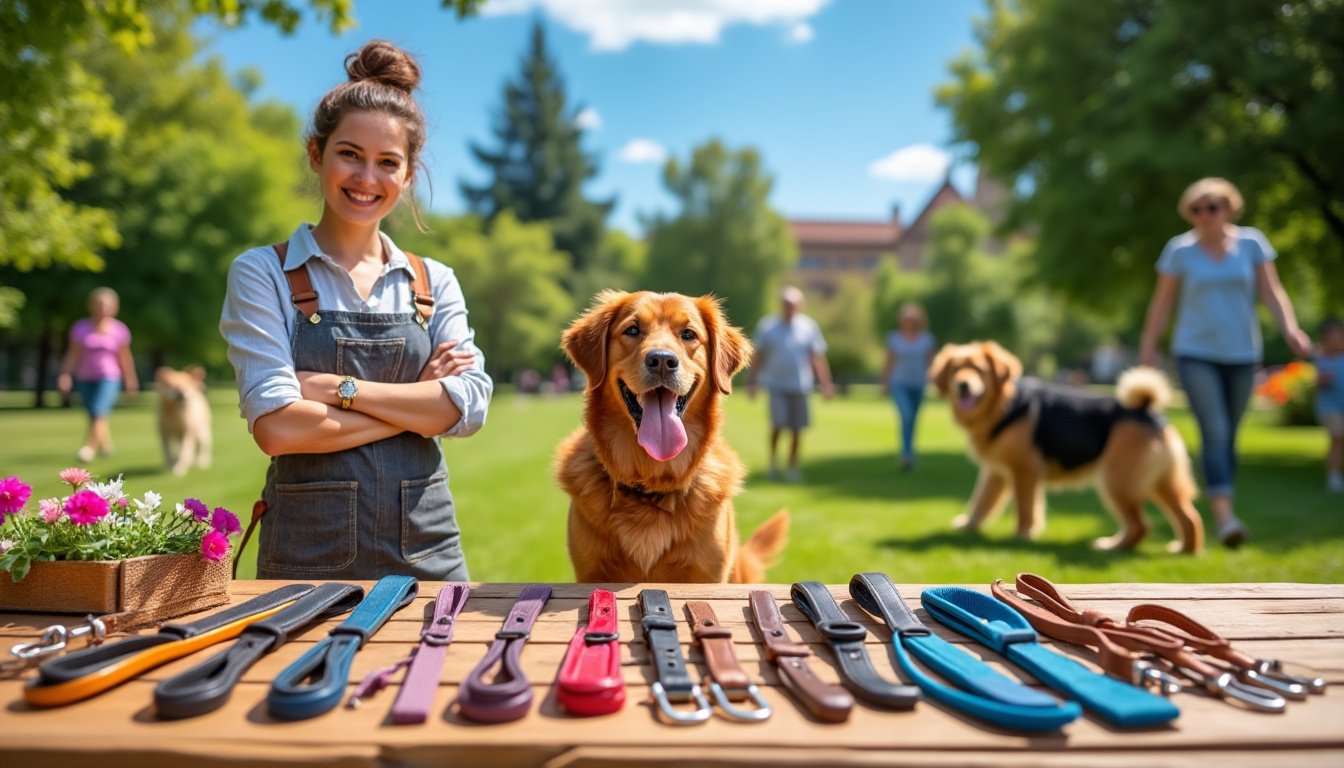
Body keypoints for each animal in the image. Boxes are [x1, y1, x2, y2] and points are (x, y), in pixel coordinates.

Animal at [553, 291, 784, 581]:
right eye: (632, 330)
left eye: (688, 334)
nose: (662, 360)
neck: (652, 484)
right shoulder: (590, 572)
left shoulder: (707, 574)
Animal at [930, 342, 1204, 554]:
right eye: (955, 368)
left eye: (980, 369)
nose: (962, 385)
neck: (1002, 406)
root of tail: (1146, 411)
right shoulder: (996, 472)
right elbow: (982, 502)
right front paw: (968, 526)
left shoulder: (1025, 471)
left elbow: (1025, 508)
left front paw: (1023, 535)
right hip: (1160, 483)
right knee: (1189, 518)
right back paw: (1183, 550)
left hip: (1117, 481)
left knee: (1140, 525)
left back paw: (1112, 547)